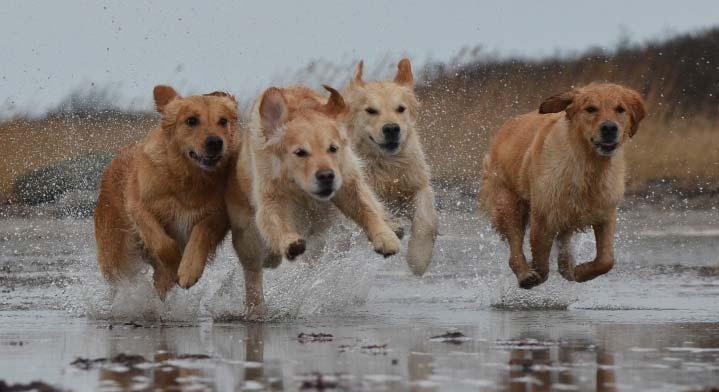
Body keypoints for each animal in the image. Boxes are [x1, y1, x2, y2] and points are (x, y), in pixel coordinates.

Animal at [93, 86, 238, 298]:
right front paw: (175, 266)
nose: (215, 142)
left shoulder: (219, 215)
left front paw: (188, 270)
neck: (190, 180)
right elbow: (163, 243)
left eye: (223, 121)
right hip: (114, 254)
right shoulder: (140, 207)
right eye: (191, 121)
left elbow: (201, 232)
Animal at [344, 59, 438, 278]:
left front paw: (418, 257)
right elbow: (372, 205)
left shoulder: (417, 182)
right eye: (371, 110)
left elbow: (424, 221)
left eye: (400, 108)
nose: (392, 129)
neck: (386, 164)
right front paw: (392, 228)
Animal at [480, 82, 648, 288]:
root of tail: (505, 127)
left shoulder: (605, 212)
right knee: (515, 246)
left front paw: (580, 271)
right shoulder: (544, 214)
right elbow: (541, 258)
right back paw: (525, 275)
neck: (588, 165)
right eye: (591, 109)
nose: (609, 128)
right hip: (507, 202)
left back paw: (566, 266)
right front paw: (537, 272)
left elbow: (606, 260)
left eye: (620, 109)